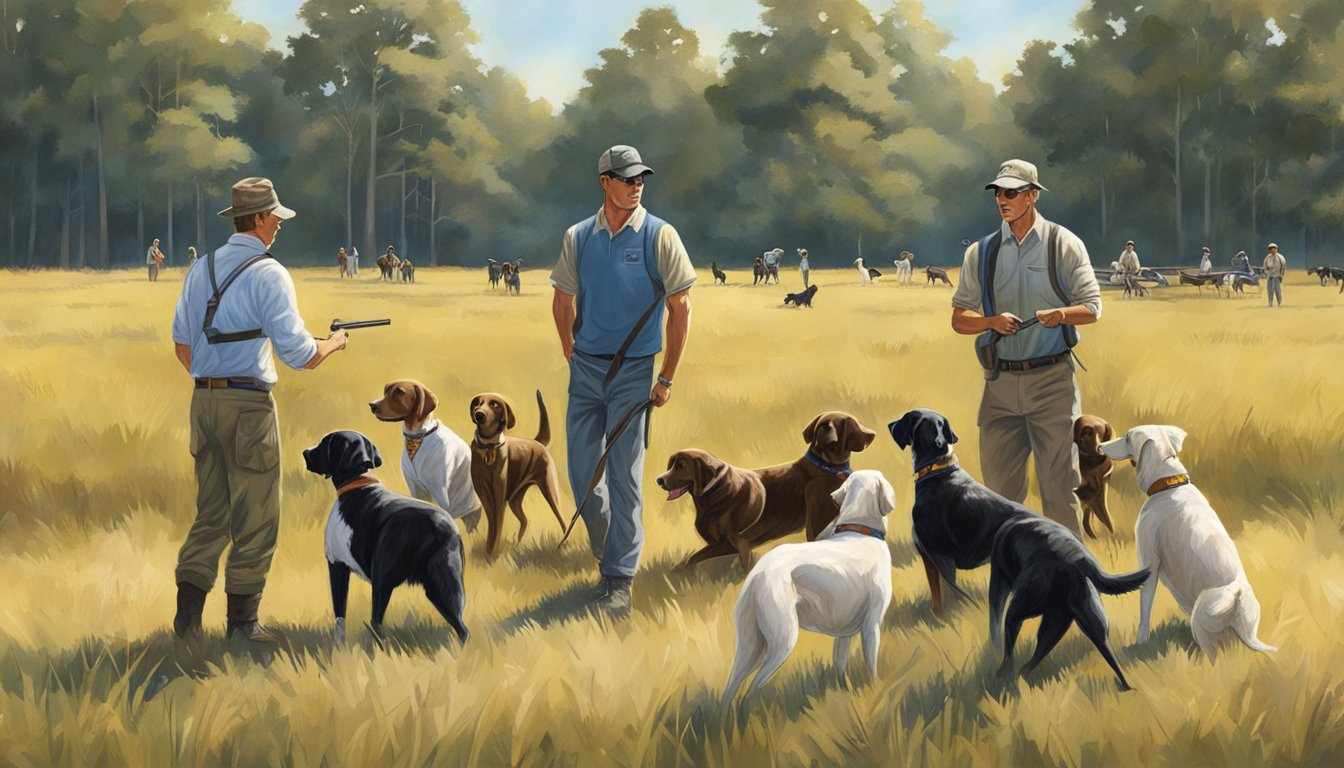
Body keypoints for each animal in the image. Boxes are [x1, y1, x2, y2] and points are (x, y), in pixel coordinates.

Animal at [302, 430, 470, 645]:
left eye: (325, 443)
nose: (305, 452)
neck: (357, 483)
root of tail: (442, 527)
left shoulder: (337, 566)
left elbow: (340, 618)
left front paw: (338, 647)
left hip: (384, 580)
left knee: (376, 623)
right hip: (442, 586)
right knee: (461, 627)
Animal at [467, 390, 567, 554]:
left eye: (494, 404)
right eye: (477, 403)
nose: (479, 414)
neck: (488, 447)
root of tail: (538, 442)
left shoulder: (498, 497)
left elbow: (496, 527)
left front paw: (492, 553)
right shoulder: (484, 495)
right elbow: (492, 526)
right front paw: (489, 551)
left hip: (551, 491)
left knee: (563, 521)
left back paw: (563, 545)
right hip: (515, 499)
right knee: (525, 520)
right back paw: (517, 544)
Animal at [720, 468, 897, 704]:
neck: (859, 530)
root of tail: (758, 573)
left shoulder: (844, 635)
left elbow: (840, 667)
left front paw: (846, 694)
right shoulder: (872, 626)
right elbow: (872, 667)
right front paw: (876, 691)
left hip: (750, 645)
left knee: (731, 687)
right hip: (782, 640)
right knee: (752, 688)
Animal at [892, 408, 1145, 688]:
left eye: (911, 421)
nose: (892, 425)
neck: (939, 468)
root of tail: (1078, 557)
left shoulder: (939, 558)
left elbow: (945, 598)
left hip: (1020, 605)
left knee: (1008, 640)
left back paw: (1002, 675)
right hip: (1082, 620)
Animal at [1096, 427, 1274, 661]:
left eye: (1127, 437)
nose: (1099, 446)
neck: (1168, 485)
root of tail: (1236, 597)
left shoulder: (1148, 561)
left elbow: (1145, 606)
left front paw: (1141, 642)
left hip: (1203, 619)